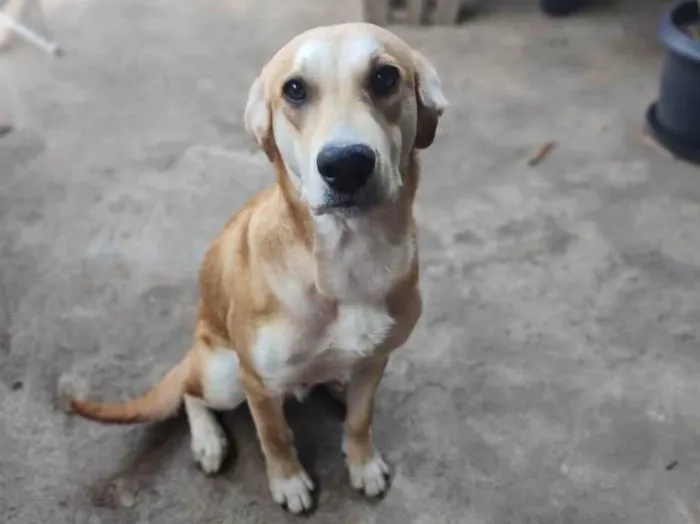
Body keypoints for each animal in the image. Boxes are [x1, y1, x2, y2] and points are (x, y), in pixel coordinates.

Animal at [68, 22, 446, 512]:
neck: (346, 262)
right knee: (190, 392)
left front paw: (362, 465)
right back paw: (208, 441)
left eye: (385, 77)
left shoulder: (376, 360)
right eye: (294, 89)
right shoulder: (258, 383)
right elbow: (274, 435)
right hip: (223, 374)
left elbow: (360, 420)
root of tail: (194, 348)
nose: (346, 165)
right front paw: (288, 482)